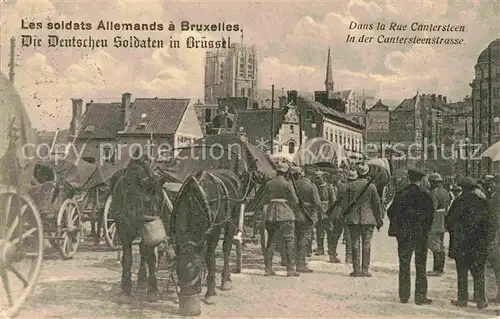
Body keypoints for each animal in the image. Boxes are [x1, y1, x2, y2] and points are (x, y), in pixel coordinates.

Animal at [171, 168, 258, 304]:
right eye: (178, 271)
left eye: (197, 269)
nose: (188, 294)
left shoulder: (215, 231)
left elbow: (210, 257)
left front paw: (210, 293)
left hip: (233, 218)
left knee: (227, 247)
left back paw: (226, 280)